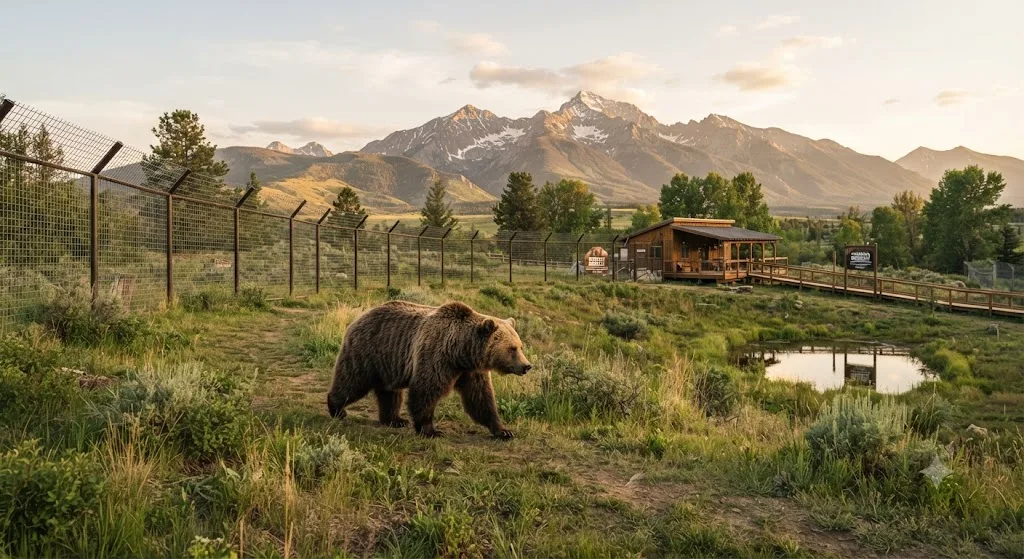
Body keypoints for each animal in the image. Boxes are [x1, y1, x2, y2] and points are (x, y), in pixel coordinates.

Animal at [327, 300, 532, 439]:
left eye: (520, 346)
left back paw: (395, 419)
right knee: (352, 380)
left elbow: (481, 398)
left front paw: (503, 430)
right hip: (367, 351)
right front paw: (430, 430)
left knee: (390, 392)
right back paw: (337, 409)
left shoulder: (471, 371)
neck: (460, 352)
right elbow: (425, 391)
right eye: (512, 348)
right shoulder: (436, 356)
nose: (527, 366)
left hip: (389, 362)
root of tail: (359, 316)